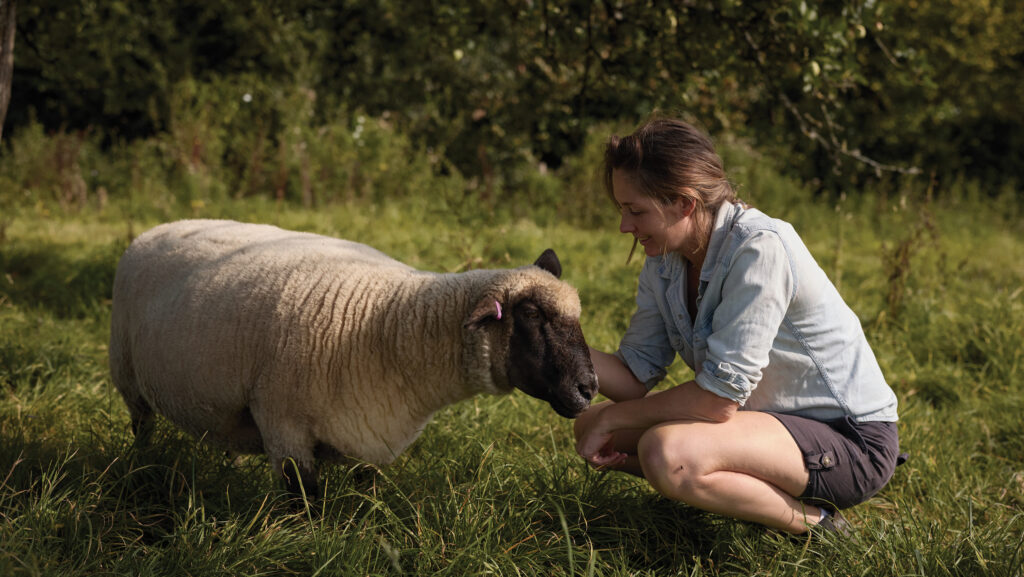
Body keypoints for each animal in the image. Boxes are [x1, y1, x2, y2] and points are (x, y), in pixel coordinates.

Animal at [108, 219, 598, 493]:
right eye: (531, 314)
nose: (589, 389)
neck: (387, 324)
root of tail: (156, 228)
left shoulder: (372, 430)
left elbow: (366, 495)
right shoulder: (284, 427)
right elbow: (302, 501)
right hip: (127, 374)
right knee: (141, 425)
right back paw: (142, 462)